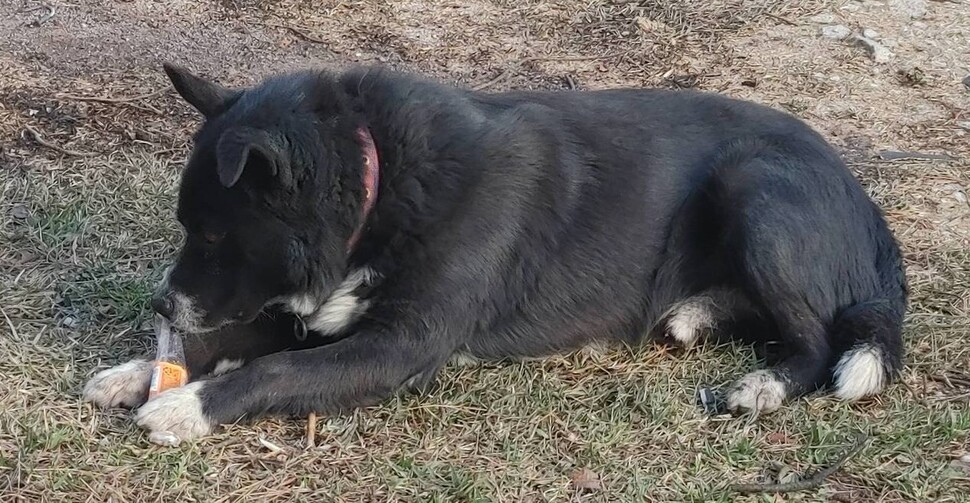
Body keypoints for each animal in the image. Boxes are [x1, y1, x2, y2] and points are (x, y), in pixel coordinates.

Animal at [83, 62, 908, 440]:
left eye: (211, 234)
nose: (160, 303)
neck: (380, 178)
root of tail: (864, 199)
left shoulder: (399, 345)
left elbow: (277, 368)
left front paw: (185, 404)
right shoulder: (323, 306)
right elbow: (243, 334)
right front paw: (139, 372)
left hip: (754, 186)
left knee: (814, 337)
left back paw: (762, 385)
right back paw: (697, 315)